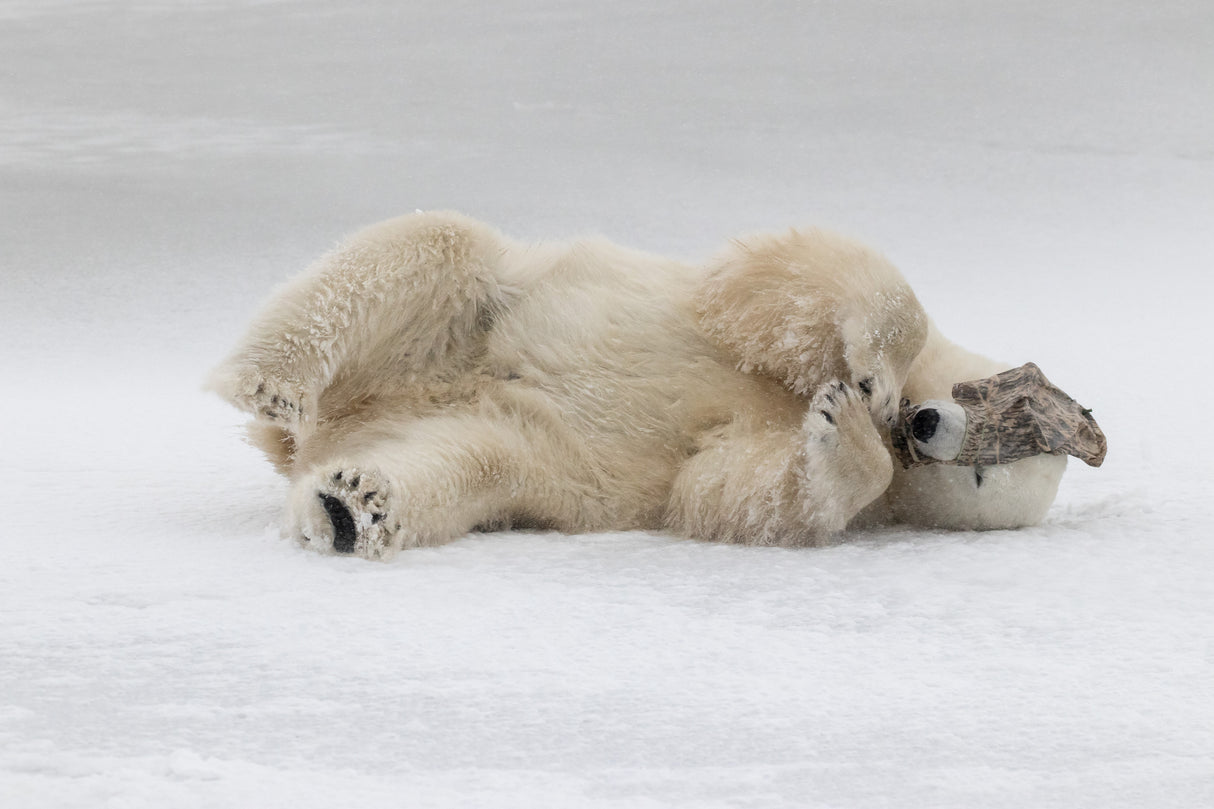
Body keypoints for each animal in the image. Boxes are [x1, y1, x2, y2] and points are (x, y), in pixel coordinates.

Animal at [207, 211, 1067, 560]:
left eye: (981, 475)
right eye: (996, 412)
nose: (920, 424)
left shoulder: (746, 459)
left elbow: (734, 488)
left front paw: (843, 431)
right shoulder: (732, 308)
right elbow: (783, 283)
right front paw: (865, 378)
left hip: (510, 443)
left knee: (457, 465)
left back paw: (350, 506)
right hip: (465, 318)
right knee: (432, 249)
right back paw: (268, 383)